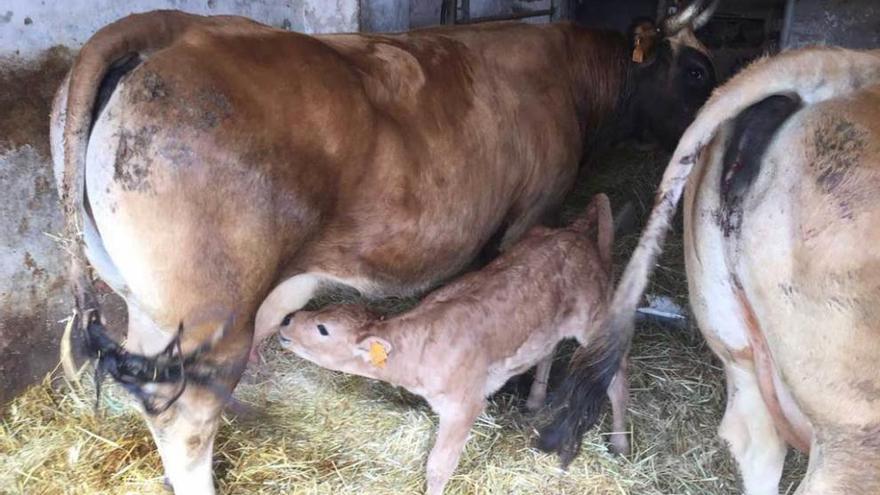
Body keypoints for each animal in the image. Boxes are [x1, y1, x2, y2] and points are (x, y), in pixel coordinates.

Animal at [278, 194, 624, 495]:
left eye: (323, 329)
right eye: (322, 311)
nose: (287, 320)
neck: (418, 348)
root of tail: (574, 232)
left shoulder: (464, 406)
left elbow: (439, 466)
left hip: (593, 319)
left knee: (616, 377)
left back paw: (620, 443)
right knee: (548, 352)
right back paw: (536, 399)